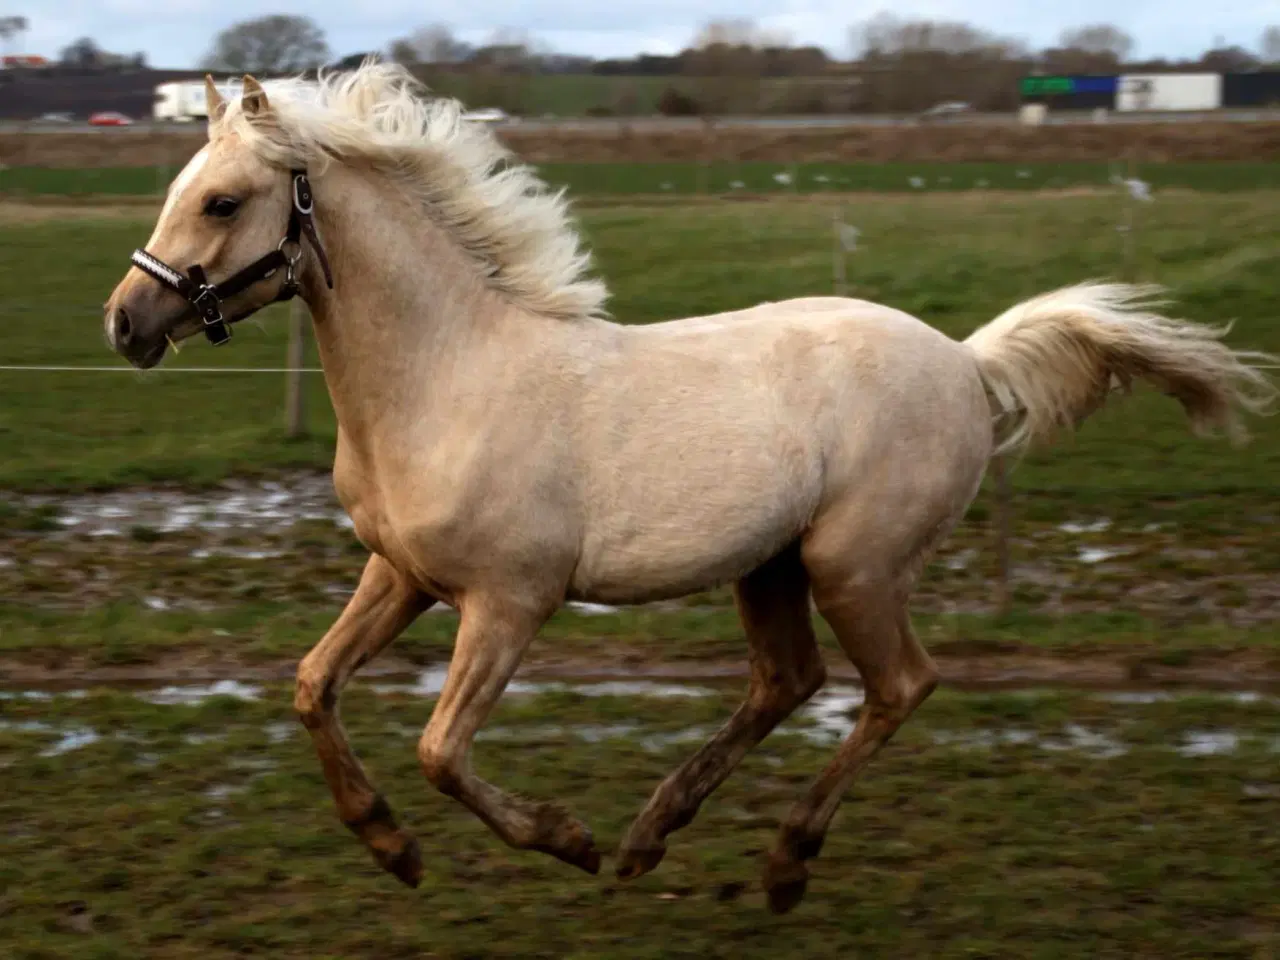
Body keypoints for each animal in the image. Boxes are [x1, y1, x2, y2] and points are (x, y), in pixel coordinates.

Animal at [102, 64, 1280, 911]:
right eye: (176, 193)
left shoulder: (510, 601)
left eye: (222, 200)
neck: (447, 377)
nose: (125, 323)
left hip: (849, 564)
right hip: (768, 565)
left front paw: (559, 840)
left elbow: (441, 750)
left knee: (897, 686)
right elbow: (312, 686)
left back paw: (776, 862)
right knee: (786, 682)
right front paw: (393, 849)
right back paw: (649, 838)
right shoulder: (401, 574)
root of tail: (963, 358)